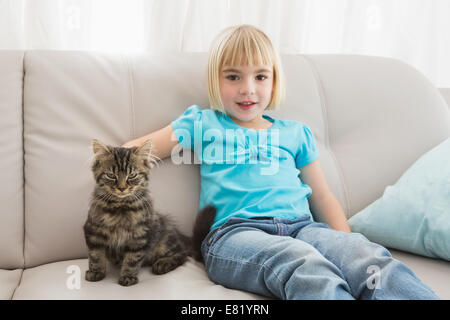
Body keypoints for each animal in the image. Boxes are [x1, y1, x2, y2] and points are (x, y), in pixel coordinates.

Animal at [83, 139, 190, 286]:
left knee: (183, 253)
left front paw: (128, 277)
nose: (122, 188)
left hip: (164, 241)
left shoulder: (140, 235)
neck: (120, 206)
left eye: (132, 175)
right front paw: (96, 272)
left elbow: (132, 259)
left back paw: (163, 264)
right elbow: (96, 255)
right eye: (111, 175)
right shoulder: (93, 232)